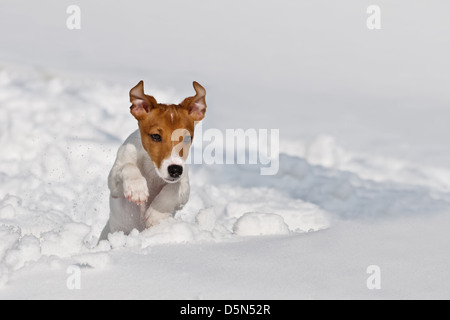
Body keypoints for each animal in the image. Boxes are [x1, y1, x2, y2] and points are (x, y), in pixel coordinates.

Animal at [99, 81, 207, 241]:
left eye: (187, 138)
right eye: (155, 136)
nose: (175, 170)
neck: (152, 169)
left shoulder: (184, 190)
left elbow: (174, 187)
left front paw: (156, 216)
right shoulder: (114, 184)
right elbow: (128, 166)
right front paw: (137, 188)